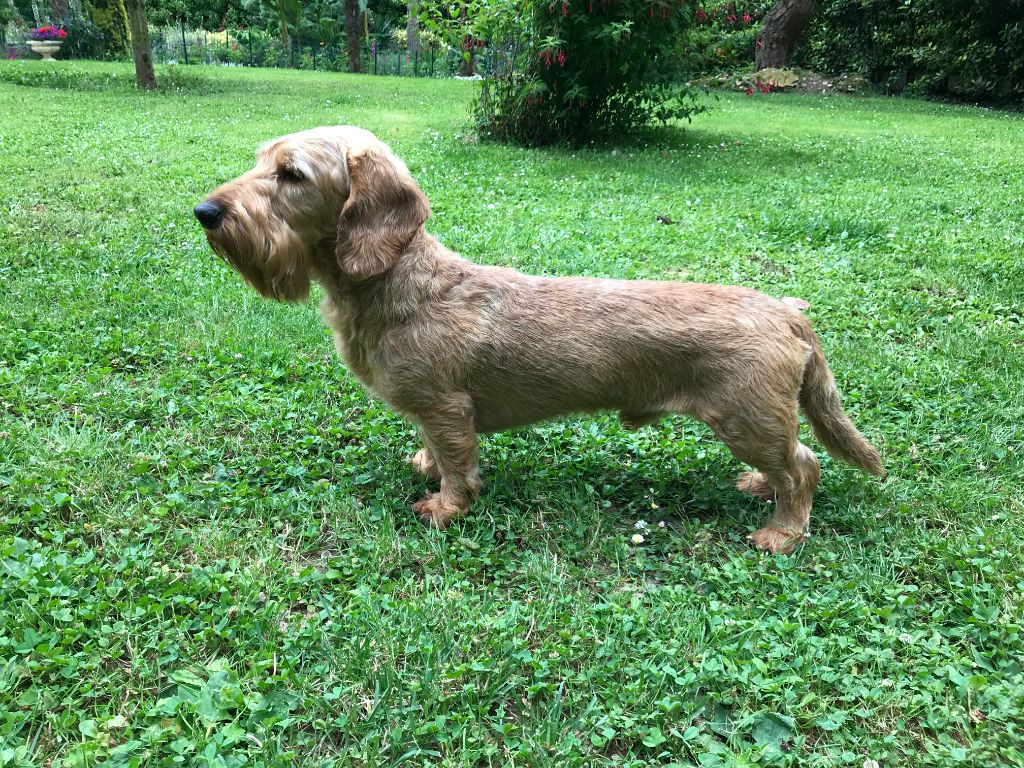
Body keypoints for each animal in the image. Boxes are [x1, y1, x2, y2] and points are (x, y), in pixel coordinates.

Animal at [195, 129, 884, 557]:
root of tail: (789, 313)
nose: (206, 212)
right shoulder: (428, 410)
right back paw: (762, 489)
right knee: (788, 462)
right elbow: (432, 448)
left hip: (745, 418)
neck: (403, 283)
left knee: (805, 466)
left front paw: (446, 506)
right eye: (261, 161)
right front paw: (425, 467)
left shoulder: (447, 409)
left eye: (292, 174)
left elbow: (458, 464)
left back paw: (782, 533)